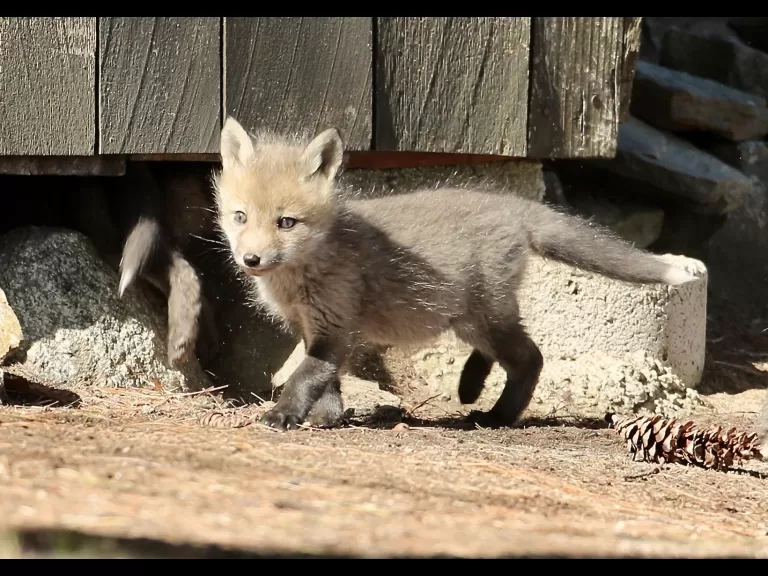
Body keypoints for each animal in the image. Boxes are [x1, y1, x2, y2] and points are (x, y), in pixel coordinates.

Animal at [213, 116, 695, 432]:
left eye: (286, 223)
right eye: (240, 217)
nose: (250, 260)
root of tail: (513, 205)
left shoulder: (335, 324)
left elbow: (306, 375)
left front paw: (284, 415)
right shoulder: (315, 328)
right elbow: (326, 379)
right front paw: (327, 418)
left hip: (481, 316)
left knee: (531, 358)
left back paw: (497, 416)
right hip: (472, 317)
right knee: (504, 352)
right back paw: (471, 385)